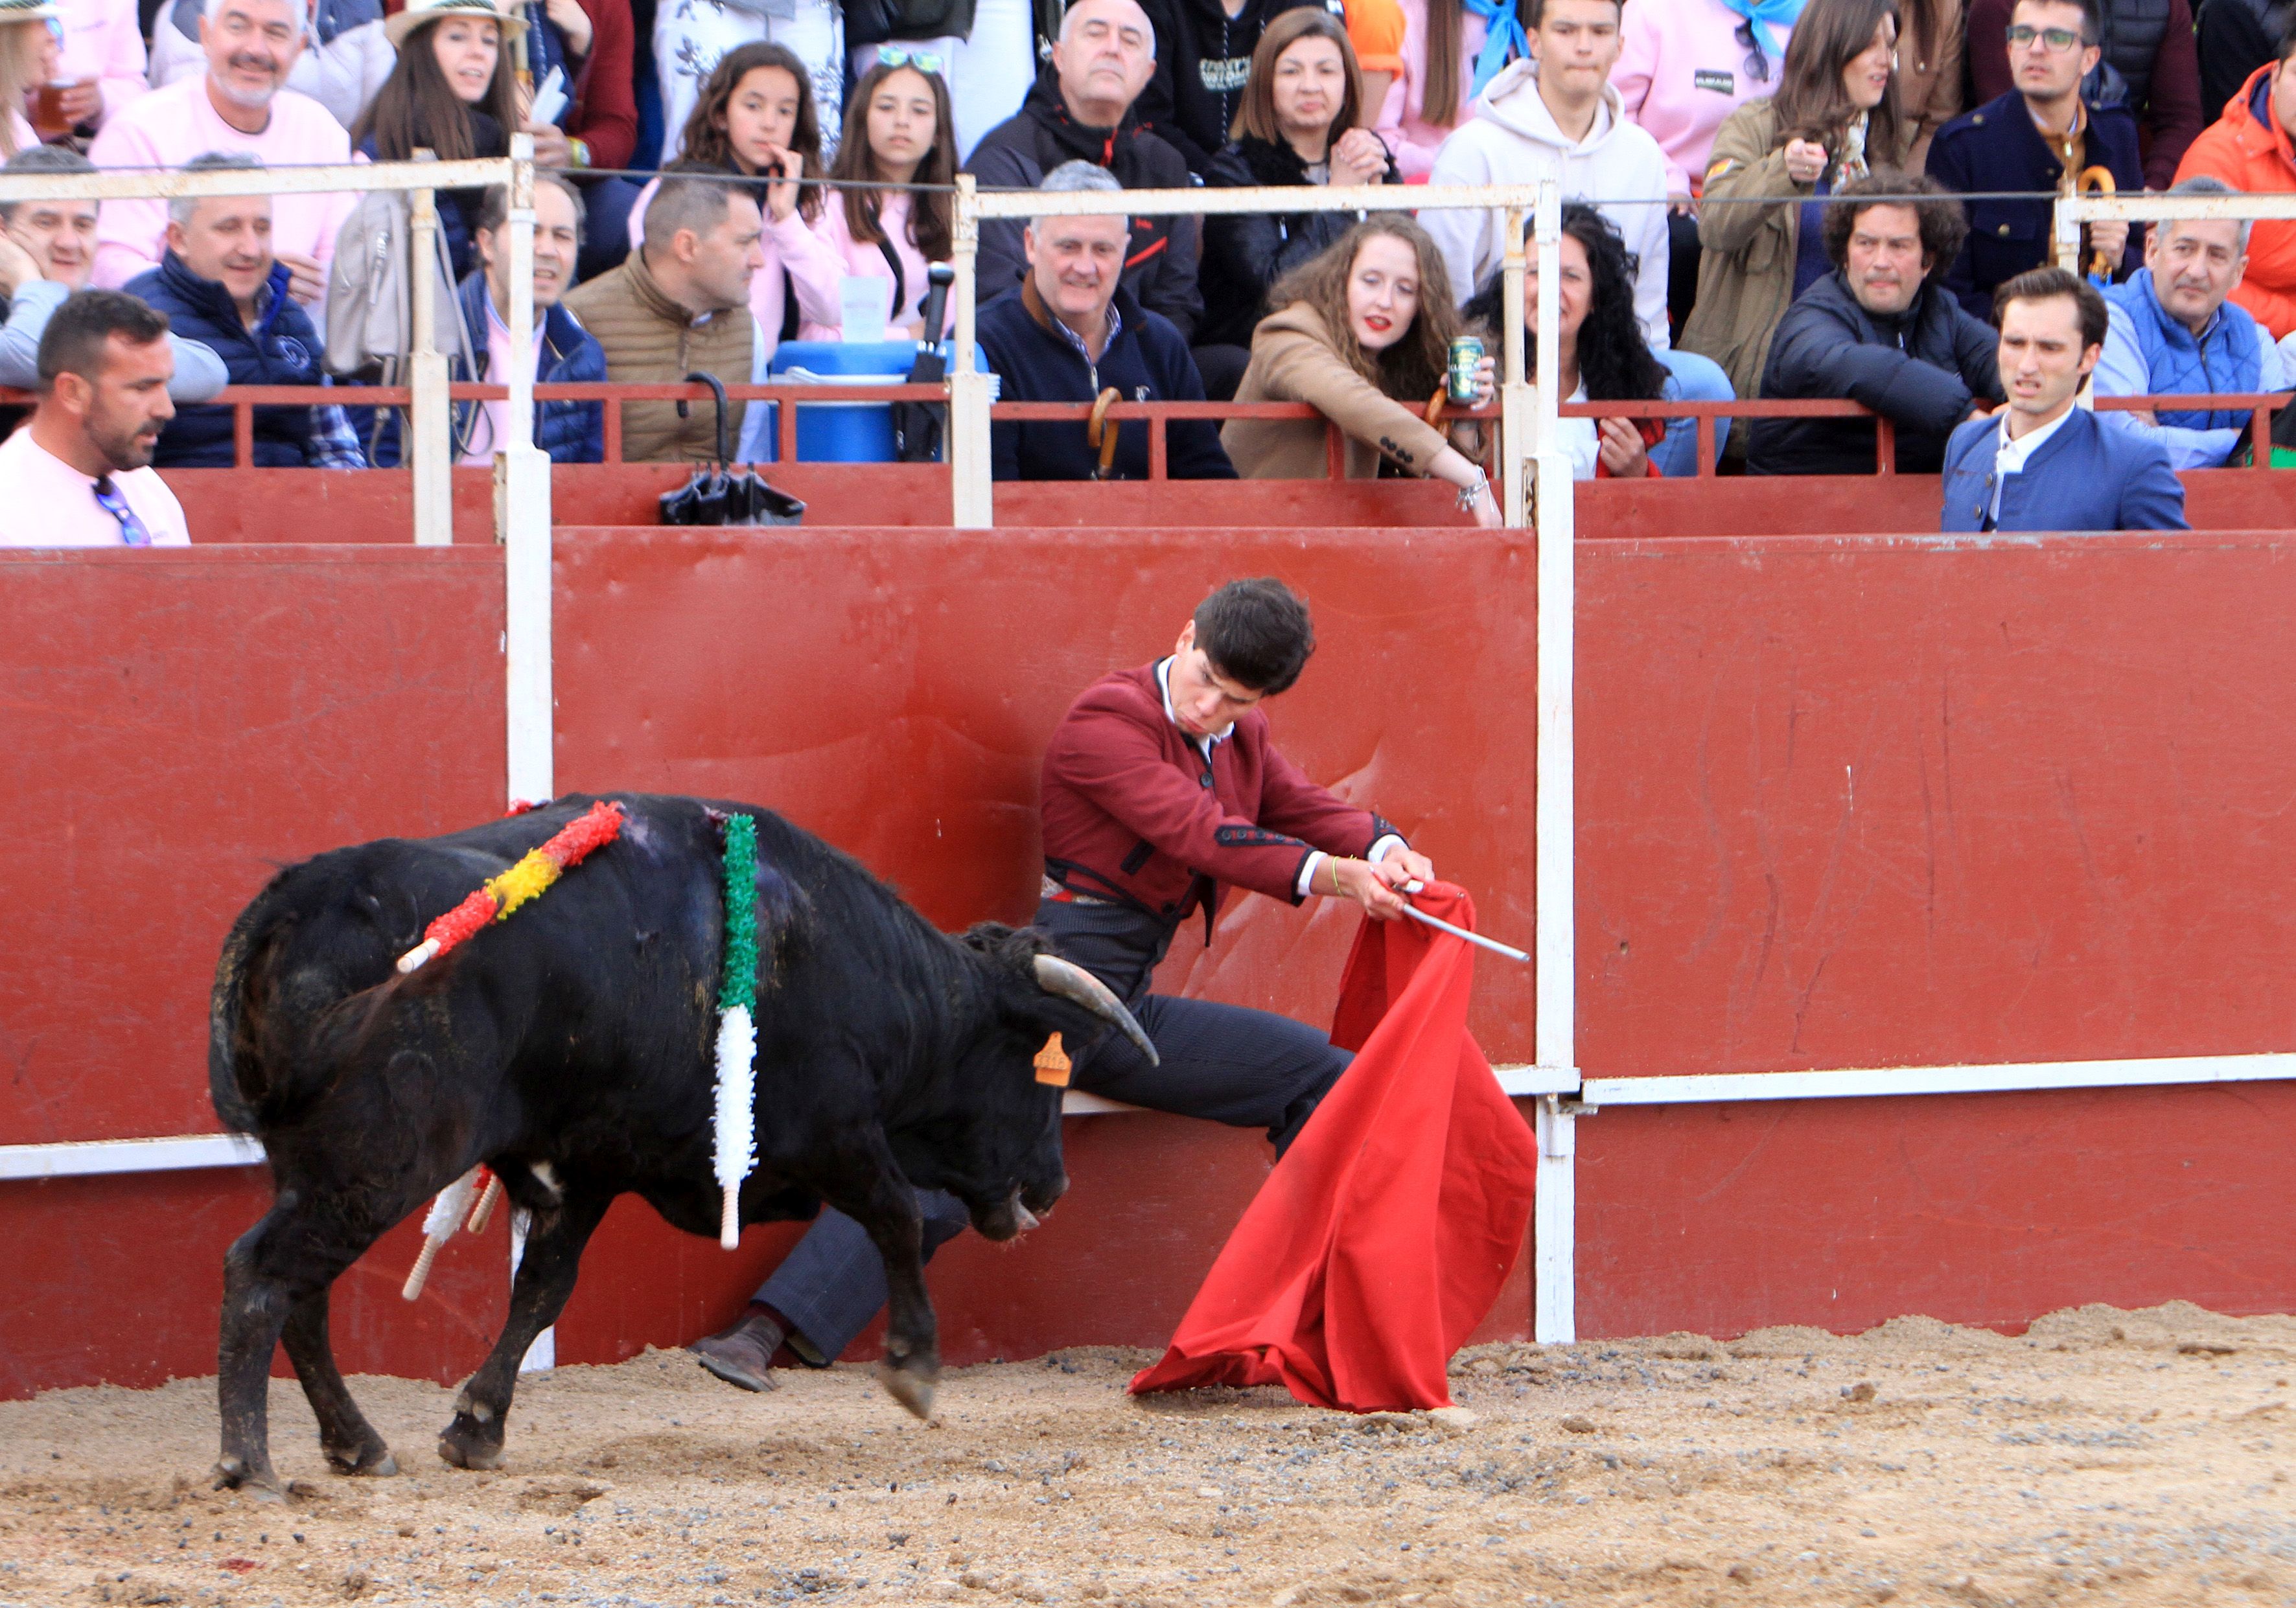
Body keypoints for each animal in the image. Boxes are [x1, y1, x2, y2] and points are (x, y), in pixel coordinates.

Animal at [206, 788, 1157, 1495]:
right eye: (1042, 1068)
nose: (1052, 1188)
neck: (870, 974)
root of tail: (296, 899)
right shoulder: (840, 1134)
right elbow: (897, 1215)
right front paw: (915, 1368)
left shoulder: (589, 1167)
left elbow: (542, 1290)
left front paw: (476, 1425)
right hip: (376, 1161)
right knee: (261, 1272)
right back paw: (249, 1462)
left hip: (319, 1166)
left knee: (304, 1295)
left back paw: (357, 1443)